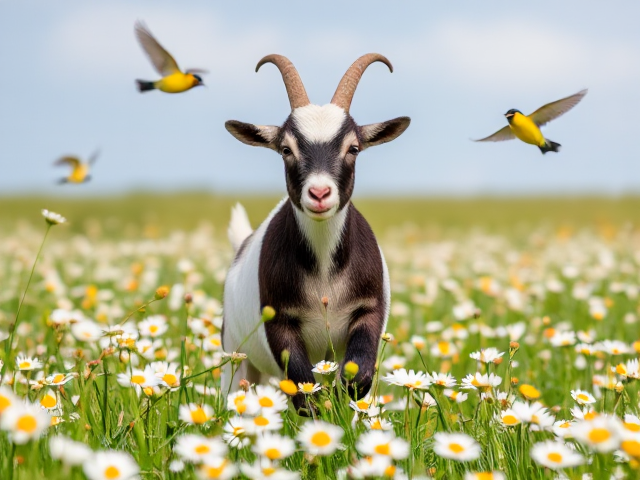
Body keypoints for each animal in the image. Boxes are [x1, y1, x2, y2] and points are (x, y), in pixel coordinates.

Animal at [222, 54, 410, 410]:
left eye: (353, 148)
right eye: (286, 149)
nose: (320, 193)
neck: (324, 275)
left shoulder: (369, 309)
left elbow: (357, 378)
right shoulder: (279, 321)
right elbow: (303, 390)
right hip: (235, 353)